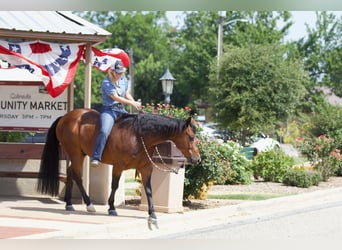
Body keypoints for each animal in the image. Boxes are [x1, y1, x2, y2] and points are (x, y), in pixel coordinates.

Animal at [36, 108, 200, 228]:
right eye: (191, 137)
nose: (197, 159)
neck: (139, 136)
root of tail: (65, 117)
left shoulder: (146, 168)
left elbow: (148, 190)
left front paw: (152, 214)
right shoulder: (118, 166)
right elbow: (114, 185)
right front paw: (111, 207)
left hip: (79, 154)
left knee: (71, 173)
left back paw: (69, 204)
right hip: (76, 154)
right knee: (77, 175)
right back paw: (89, 205)